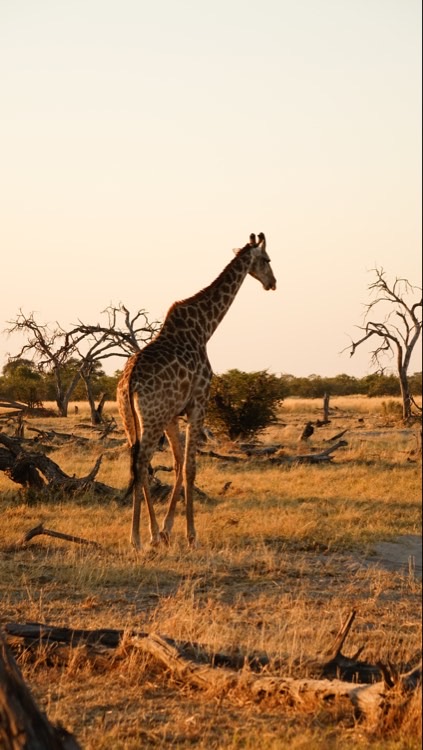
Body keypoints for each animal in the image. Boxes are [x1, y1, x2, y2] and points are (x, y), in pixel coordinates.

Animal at [118, 235, 278, 552]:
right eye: (267, 260)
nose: (273, 283)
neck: (204, 328)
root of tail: (129, 381)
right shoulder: (199, 403)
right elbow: (191, 467)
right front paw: (191, 535)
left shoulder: (173, 414)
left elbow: (178, 464)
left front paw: (166, 530)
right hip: (151, 418)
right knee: (141, 463)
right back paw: (139, 537)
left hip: (131, 420)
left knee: (138, 464)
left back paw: (145, 535)